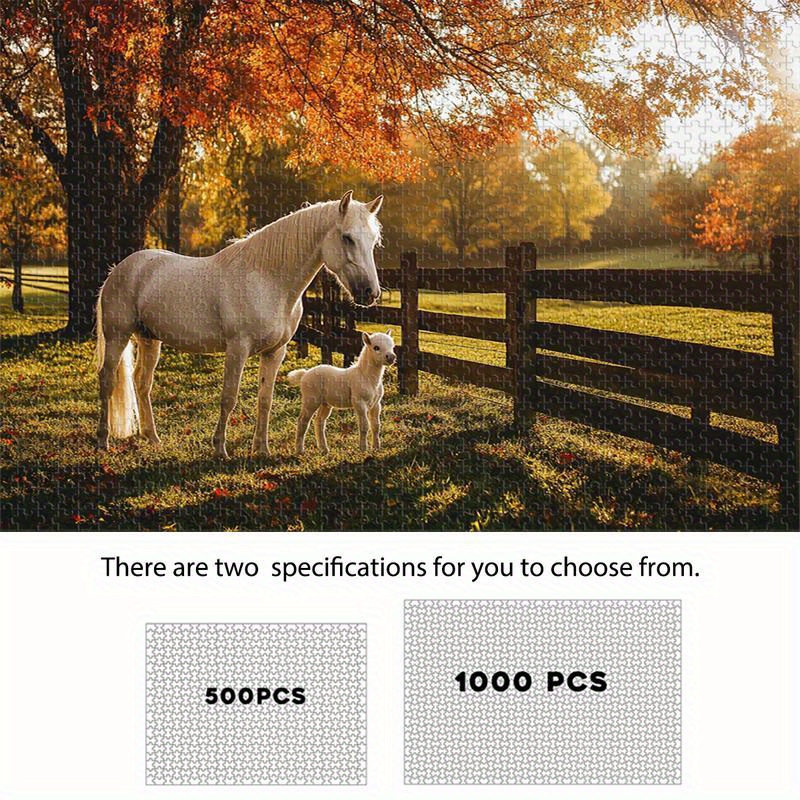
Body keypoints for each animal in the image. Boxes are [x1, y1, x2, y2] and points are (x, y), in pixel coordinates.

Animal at [94, 190, 383, 458]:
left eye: (373, 241)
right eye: (347, 237)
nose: (370, 293)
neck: (267, 280)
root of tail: (121, 268)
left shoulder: (275, 352)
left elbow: (265, 400)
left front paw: (262, 449)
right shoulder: (237, 348)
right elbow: (228, 397)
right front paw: (220, 449)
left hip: (149, 339)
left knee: (142, 383)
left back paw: (153, 438)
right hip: (118, 336)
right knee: (107, 380)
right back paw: (103, 441)